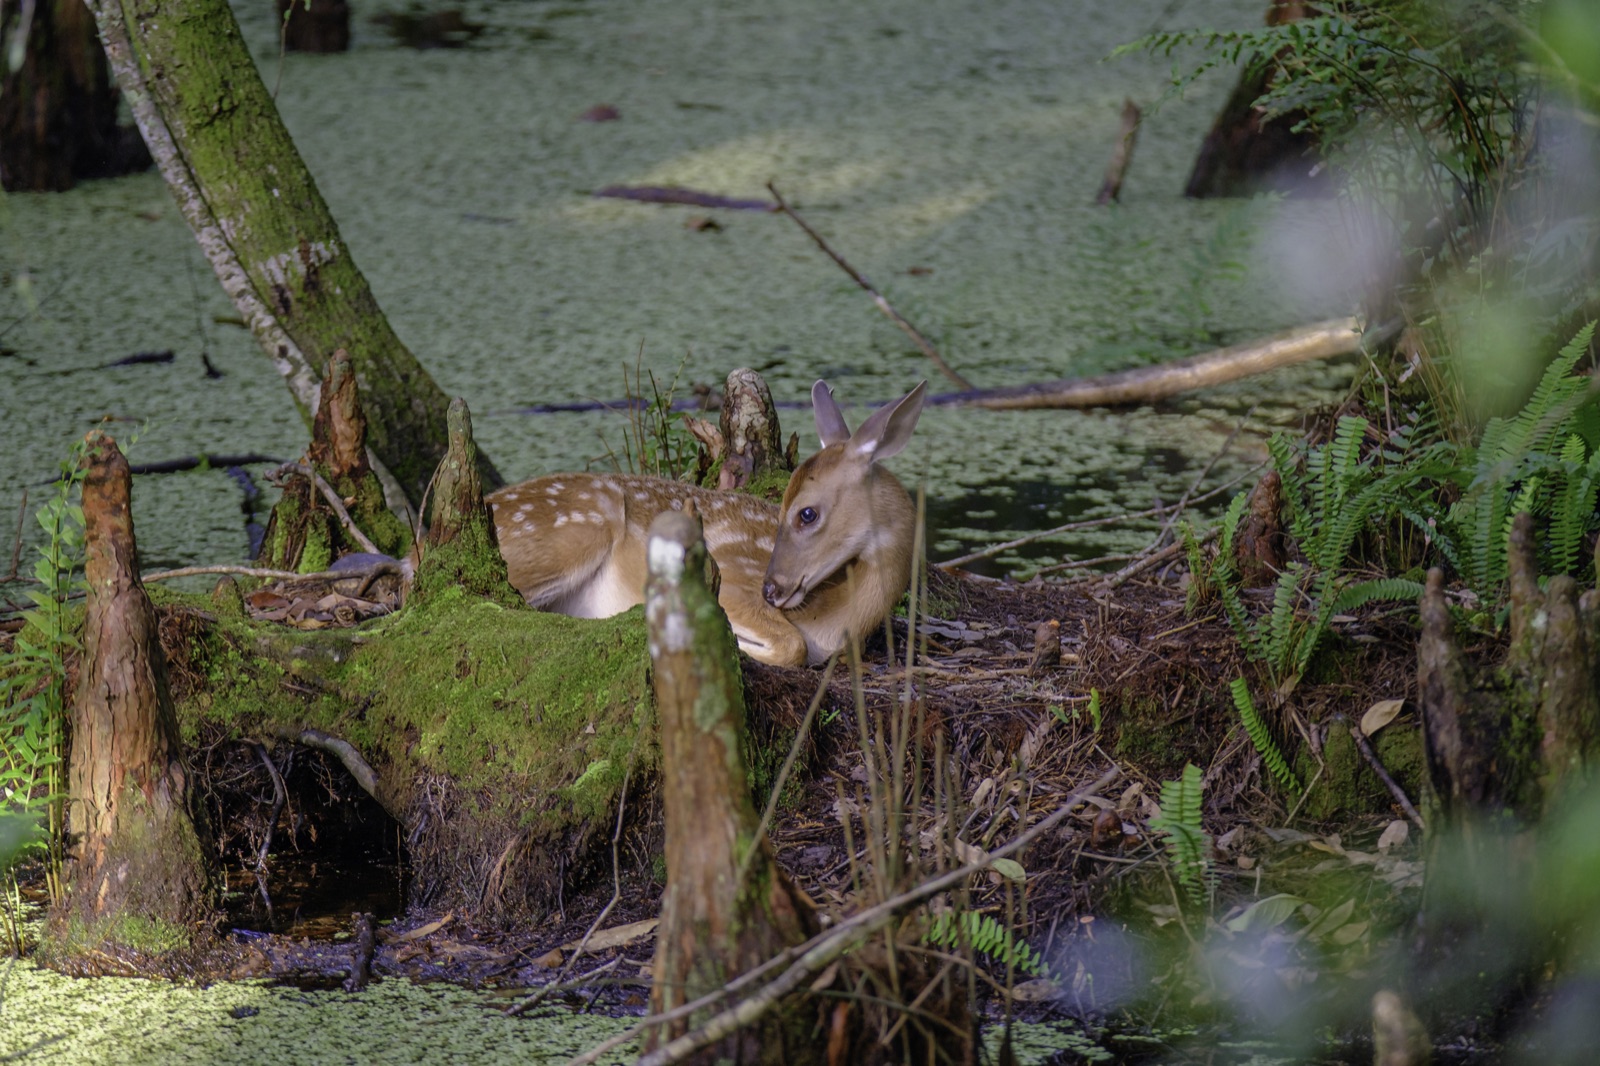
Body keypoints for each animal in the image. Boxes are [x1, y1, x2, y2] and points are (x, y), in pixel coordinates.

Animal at [487, 380, 927, 667]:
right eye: (786, 505)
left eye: (807, 512)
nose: (771, 589)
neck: (835, 627)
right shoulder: (732, 576)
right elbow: (792, 645)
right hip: (578, 529)